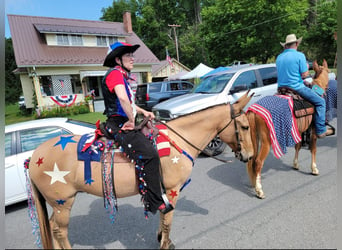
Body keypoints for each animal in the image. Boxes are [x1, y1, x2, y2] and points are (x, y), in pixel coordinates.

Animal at [28, 90, 255, 248]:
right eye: (245, 127)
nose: (249, 155)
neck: (178, 140)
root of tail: (34, 157)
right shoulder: (172, 190)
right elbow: (168, 221)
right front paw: (165, 243)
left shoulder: (162, 191)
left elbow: (163, 217)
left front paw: (162, 238)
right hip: (63, 203)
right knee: (59, 231)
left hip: (58, 204)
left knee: (52, 228)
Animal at [246, 59, 332, 198]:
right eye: (329, 71)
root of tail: (254, 110)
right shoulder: (313, 130)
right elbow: (313, 149)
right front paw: (314, 169)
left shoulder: (299, 130)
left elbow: (298, 146)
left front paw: (295, 164)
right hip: (266, 141)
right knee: (258, 162)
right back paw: (259, 190)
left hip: (254, 138)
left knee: (251, 161)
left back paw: (254, 184)